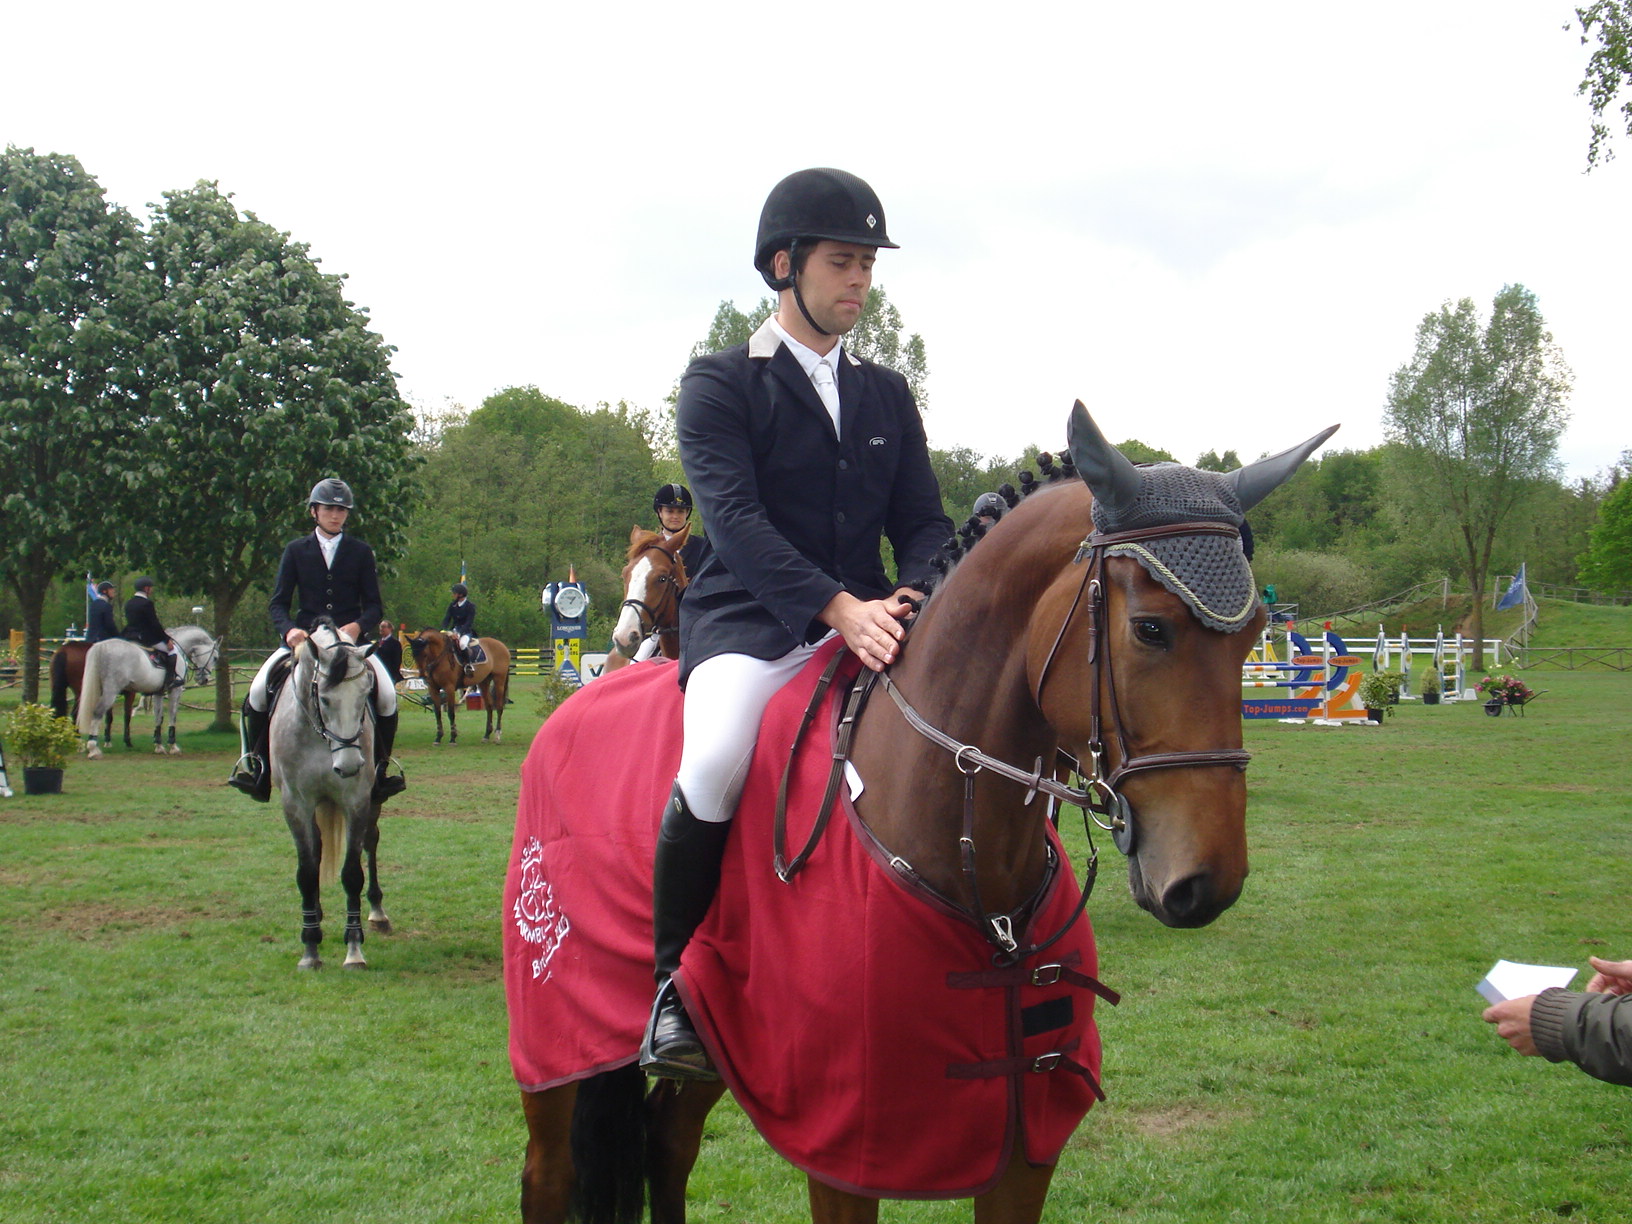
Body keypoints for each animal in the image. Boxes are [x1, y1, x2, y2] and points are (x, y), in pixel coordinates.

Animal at [76, 626, 220, 759]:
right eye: (215, 658)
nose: (204, 680)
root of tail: (101, 646)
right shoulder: (175, 690)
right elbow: (172, 716)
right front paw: (173, 746)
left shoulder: (158, 693)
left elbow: (158, 717)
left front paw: (159, 746)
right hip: (110, 692)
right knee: (97, 712)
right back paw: (93, 749)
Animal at [269, 620, 390, 970]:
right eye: (323, 699)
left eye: (365, 696)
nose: (349, 766)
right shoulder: (295, 804)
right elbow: (307, 872)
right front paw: (310, 948)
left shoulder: (357, 800)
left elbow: (351, 873)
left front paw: (354, 949)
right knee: (318, 849)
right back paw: (316, 916)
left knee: (370, 841)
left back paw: (377, 913)